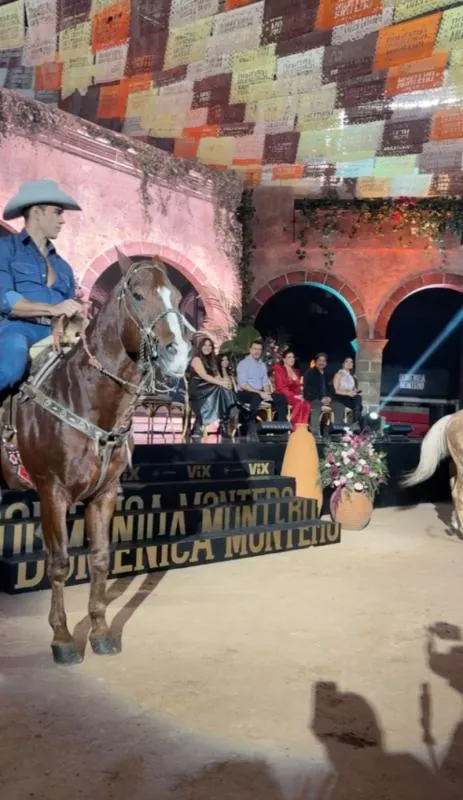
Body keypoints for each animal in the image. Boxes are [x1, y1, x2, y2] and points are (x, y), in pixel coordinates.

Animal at [1, 249, 191, 665]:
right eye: (137, 294)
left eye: (175, 295)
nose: (179, 354)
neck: (85, 397)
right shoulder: (51, 492)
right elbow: (58, 562)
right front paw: (61, 638)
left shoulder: (104, 495)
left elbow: (101, 558)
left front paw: (101, 632)